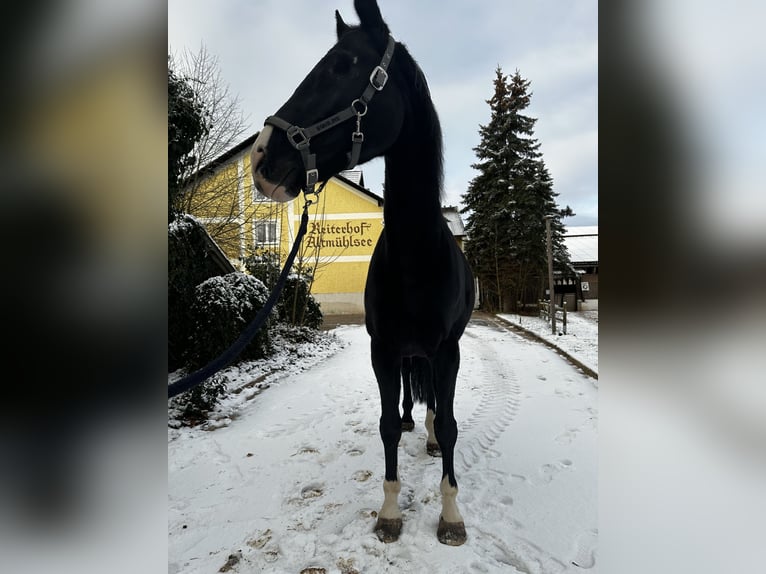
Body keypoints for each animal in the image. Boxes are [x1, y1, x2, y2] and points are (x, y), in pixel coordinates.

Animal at [252, 0, 474, 548]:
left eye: (342, 66)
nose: (262, 156)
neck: (416, 257)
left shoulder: (448, 350)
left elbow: (451, 423)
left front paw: (451, 515)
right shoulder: (383, 350)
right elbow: (388, 425)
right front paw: (390, 511)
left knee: (434, 401)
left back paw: (430, 434)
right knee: (410, 399)